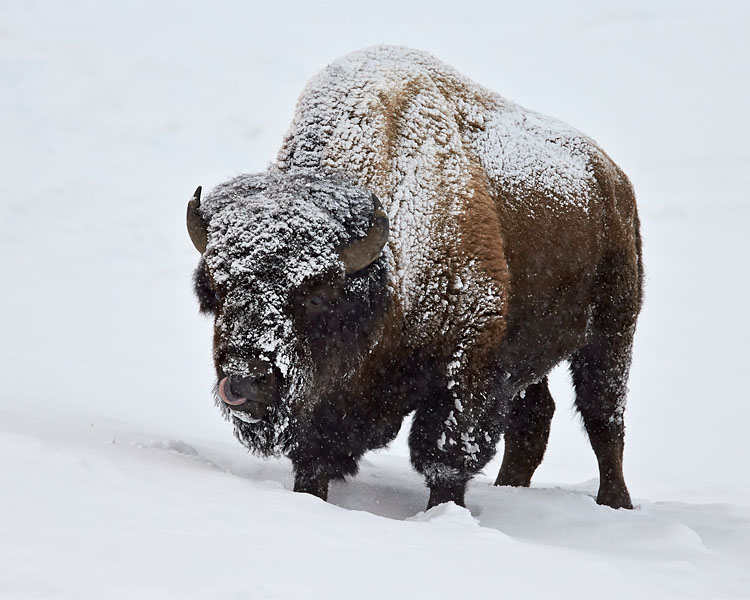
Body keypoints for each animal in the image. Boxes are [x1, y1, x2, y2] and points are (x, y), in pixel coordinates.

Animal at [189, 44, 648, 508]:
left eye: (317, 295)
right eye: (218, 291)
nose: (245, 381)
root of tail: (612, 178)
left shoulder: (466, 367)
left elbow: (444, 457)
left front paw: (443, 511)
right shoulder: (326, 403)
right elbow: (315, 457)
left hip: (611, 331)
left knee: (603, 418)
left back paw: (615, 502)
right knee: (534, 418)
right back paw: (509, 488)